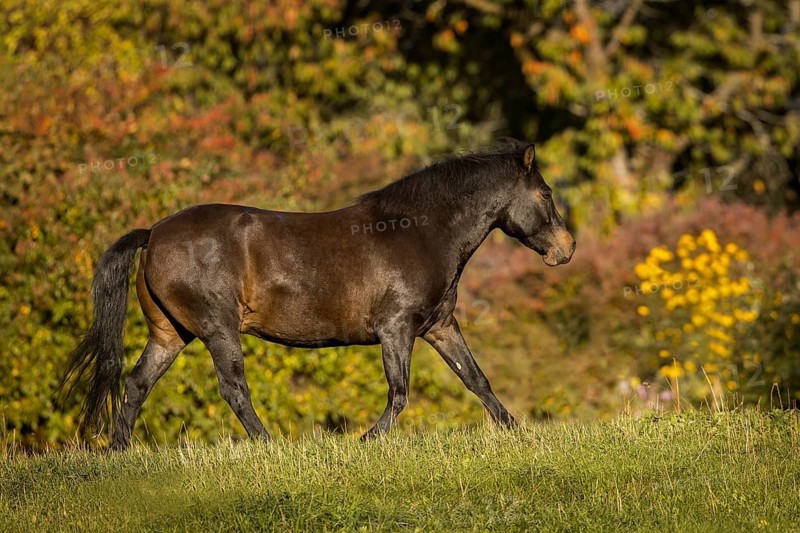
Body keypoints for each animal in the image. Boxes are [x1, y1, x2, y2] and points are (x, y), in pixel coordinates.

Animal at [58, 139, 576, 449]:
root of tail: (154, 233)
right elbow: (399, 392)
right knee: (233, 387)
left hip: (170, 333)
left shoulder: (439, 327)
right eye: (546, 194)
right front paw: (366, 441)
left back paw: (119, 450)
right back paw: (269, 445)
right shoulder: (397, 328)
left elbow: (477, 380)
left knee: (137, 383)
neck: (419, 231)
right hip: (216, 328)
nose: (567, 249)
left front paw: (517, 432)